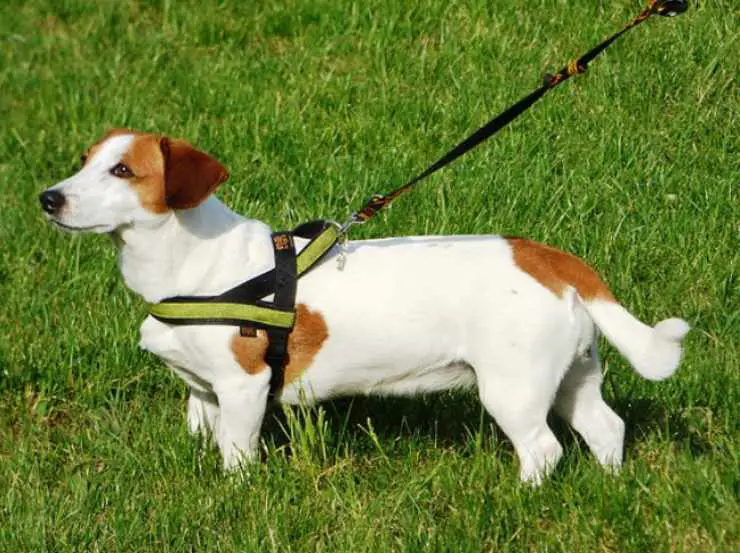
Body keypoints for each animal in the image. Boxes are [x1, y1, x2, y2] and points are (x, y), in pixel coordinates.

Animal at [39, 130, 688, 484]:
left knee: (544, 450)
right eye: (84, 160)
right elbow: (204, 433)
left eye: (123, 169)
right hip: (572, 373)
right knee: (605, 427)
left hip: (515, 386)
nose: (48, 197)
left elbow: (237, 453)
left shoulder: (243, 387)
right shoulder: (204, 390)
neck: (190, 263)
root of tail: (549, 259)